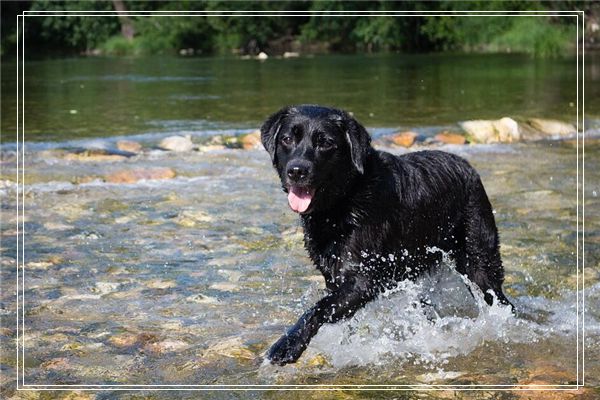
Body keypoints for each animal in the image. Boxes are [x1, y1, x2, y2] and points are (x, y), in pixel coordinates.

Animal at [260, 105, 512, 366]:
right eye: (287, 139)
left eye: (326, 143)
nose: (296, 170)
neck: (345, 199)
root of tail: (468, 167)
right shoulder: (335, 276)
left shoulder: (363, 279)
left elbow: (318, 308)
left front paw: (287, 345)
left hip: (479, 260)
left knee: (499, 298)